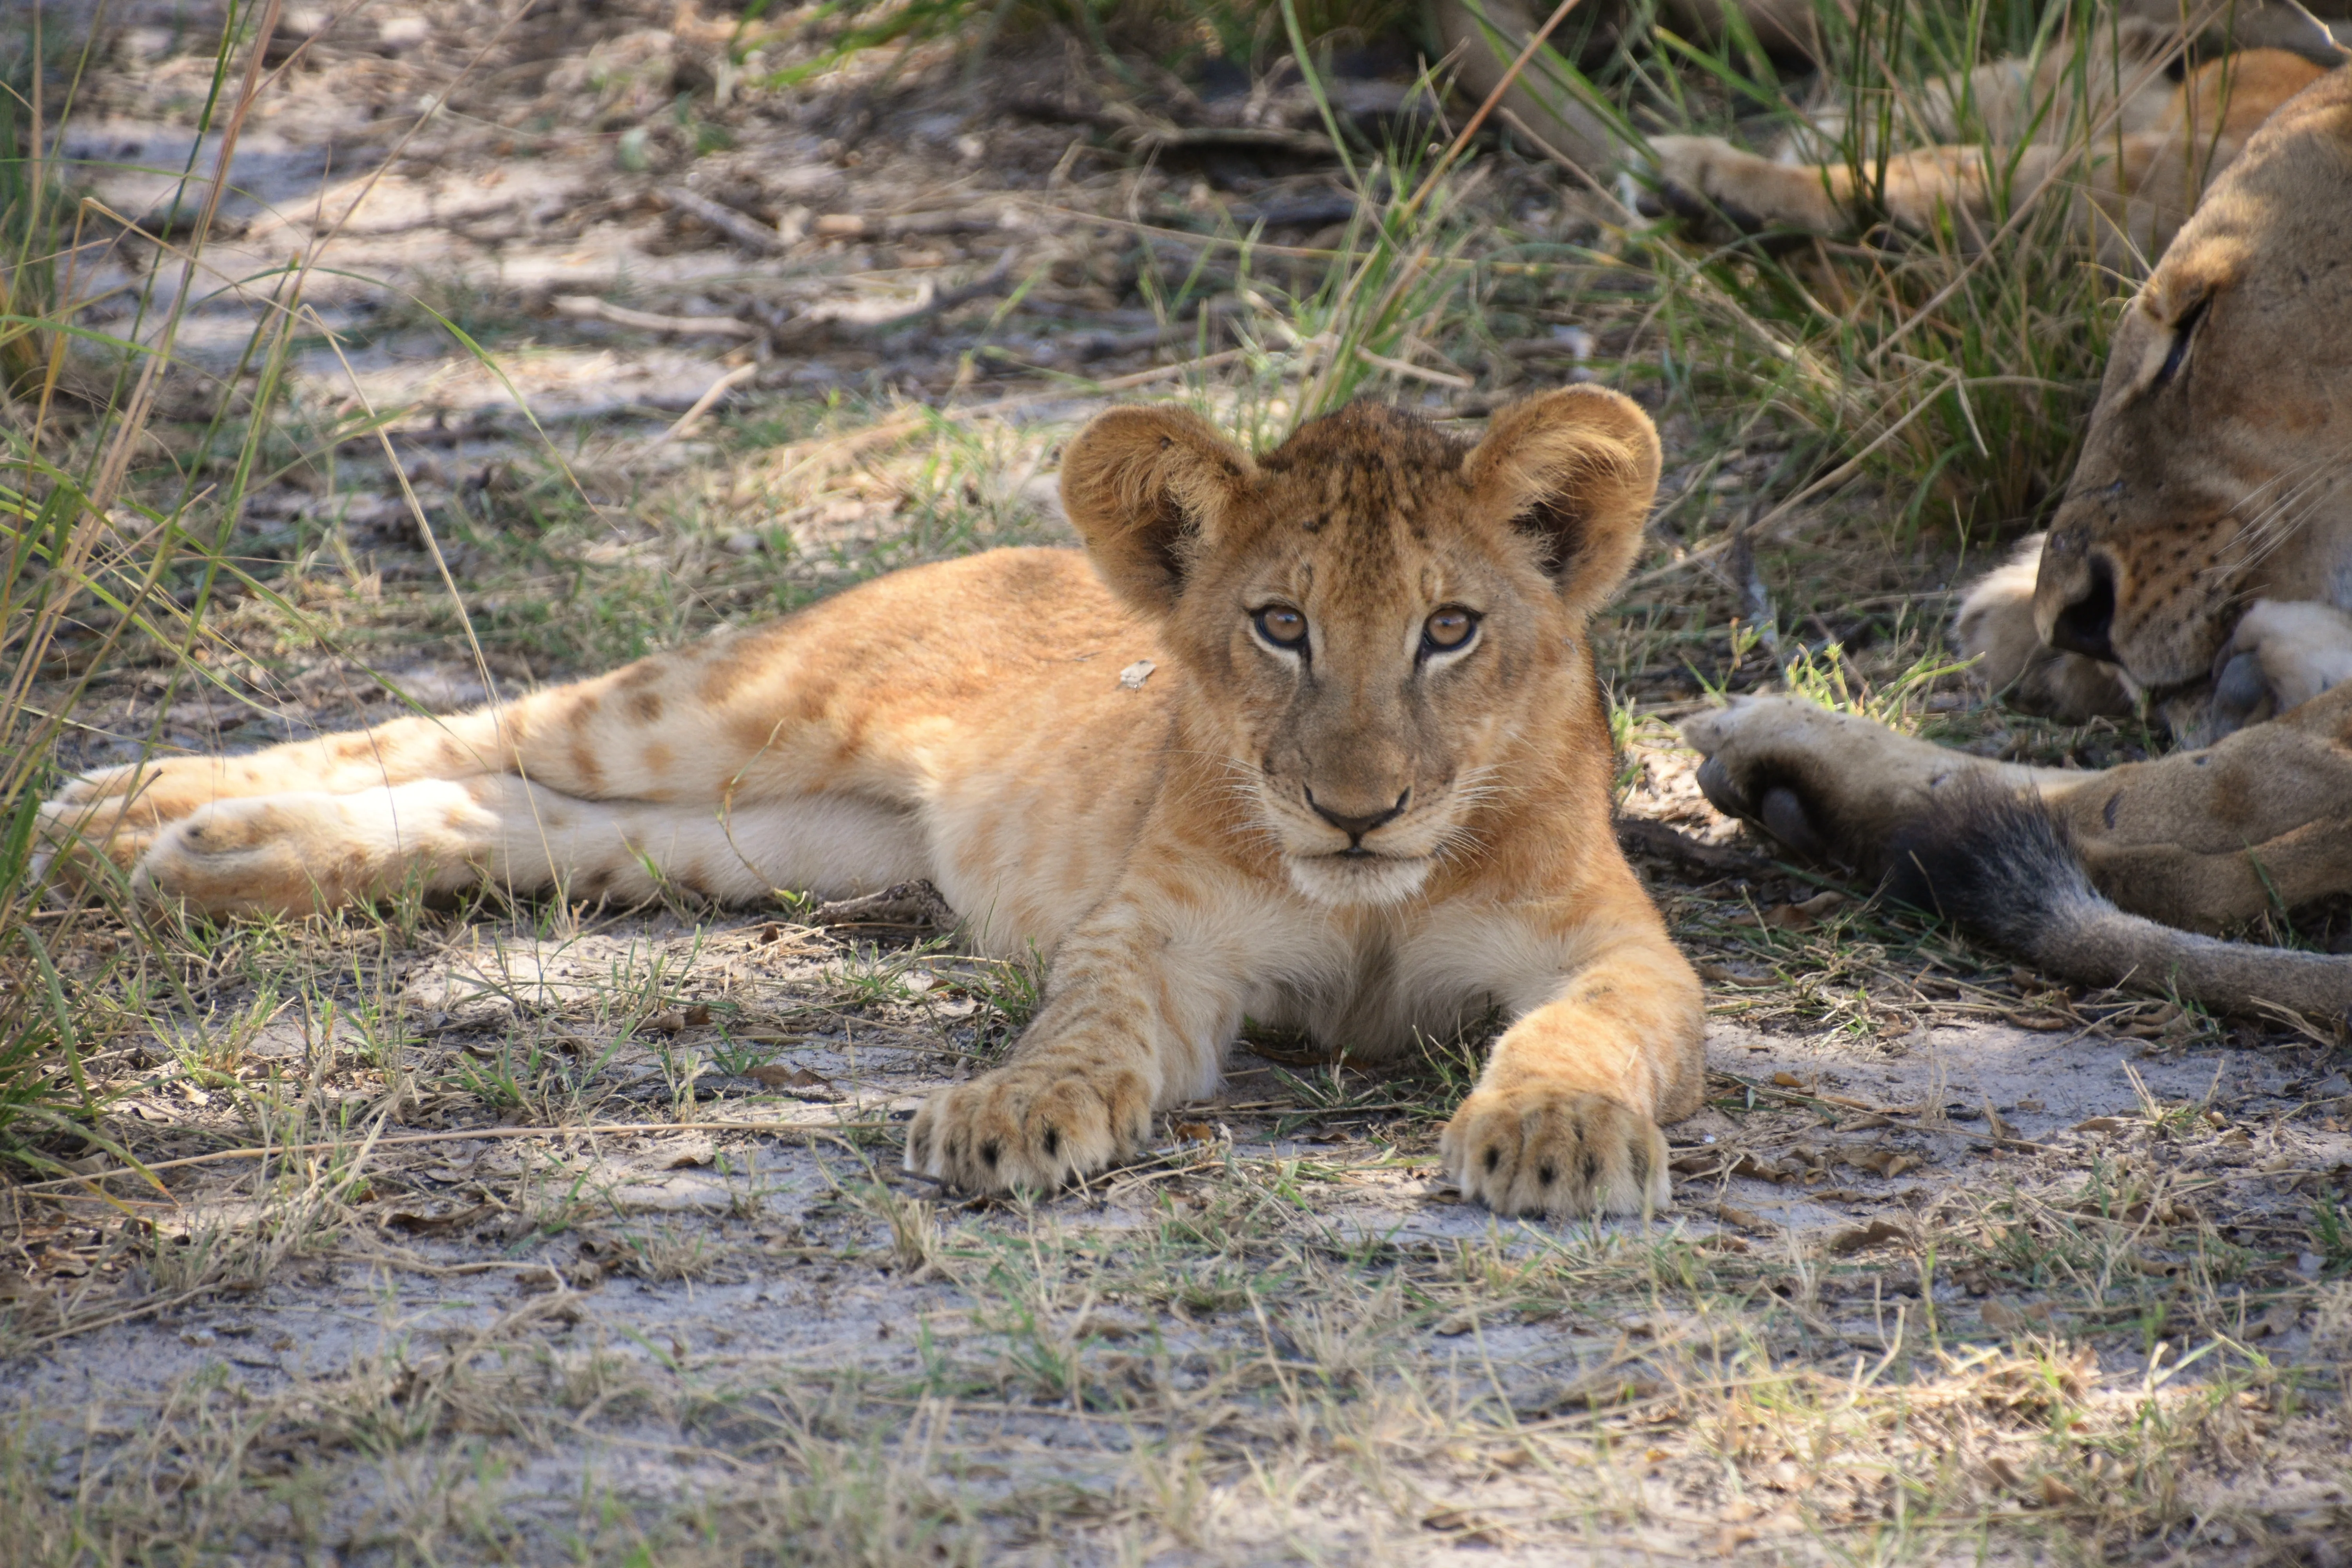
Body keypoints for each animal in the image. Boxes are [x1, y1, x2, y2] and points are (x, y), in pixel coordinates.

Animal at [38, 389, 1707, 1216]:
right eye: (1281, 626)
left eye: (1450, 629)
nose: (1358, 810)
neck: (1370, 905)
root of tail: (999, 547)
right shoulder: (1154, 935)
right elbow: (1085, 1026)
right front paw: (1012, 1115)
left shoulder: (1625, 951)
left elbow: (1583, 1028)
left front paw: (1554, 1133)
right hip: (727, 704)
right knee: (469, 723)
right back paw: (125, 810)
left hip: (783, 842)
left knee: (507, 810)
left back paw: (209, 854)